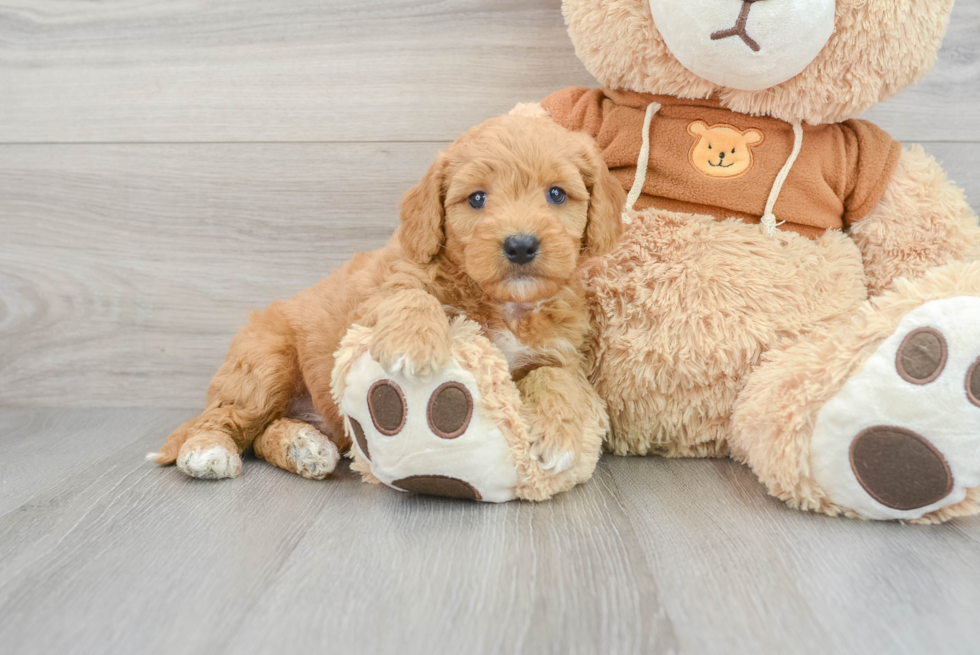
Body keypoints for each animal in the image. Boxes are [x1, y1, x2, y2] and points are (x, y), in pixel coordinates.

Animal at [149, 113, 624, 482]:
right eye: (477, 199)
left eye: (557, 194)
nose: (521, 245)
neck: (504, 304)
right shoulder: (381, 289)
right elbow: (410, 298)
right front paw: (413, 346)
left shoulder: (558, 350)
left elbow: (558, 377)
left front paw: (558, 435)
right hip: (264, 364)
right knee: (228, 417)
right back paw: (207, 451)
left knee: (264, 434)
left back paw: (304, 448)